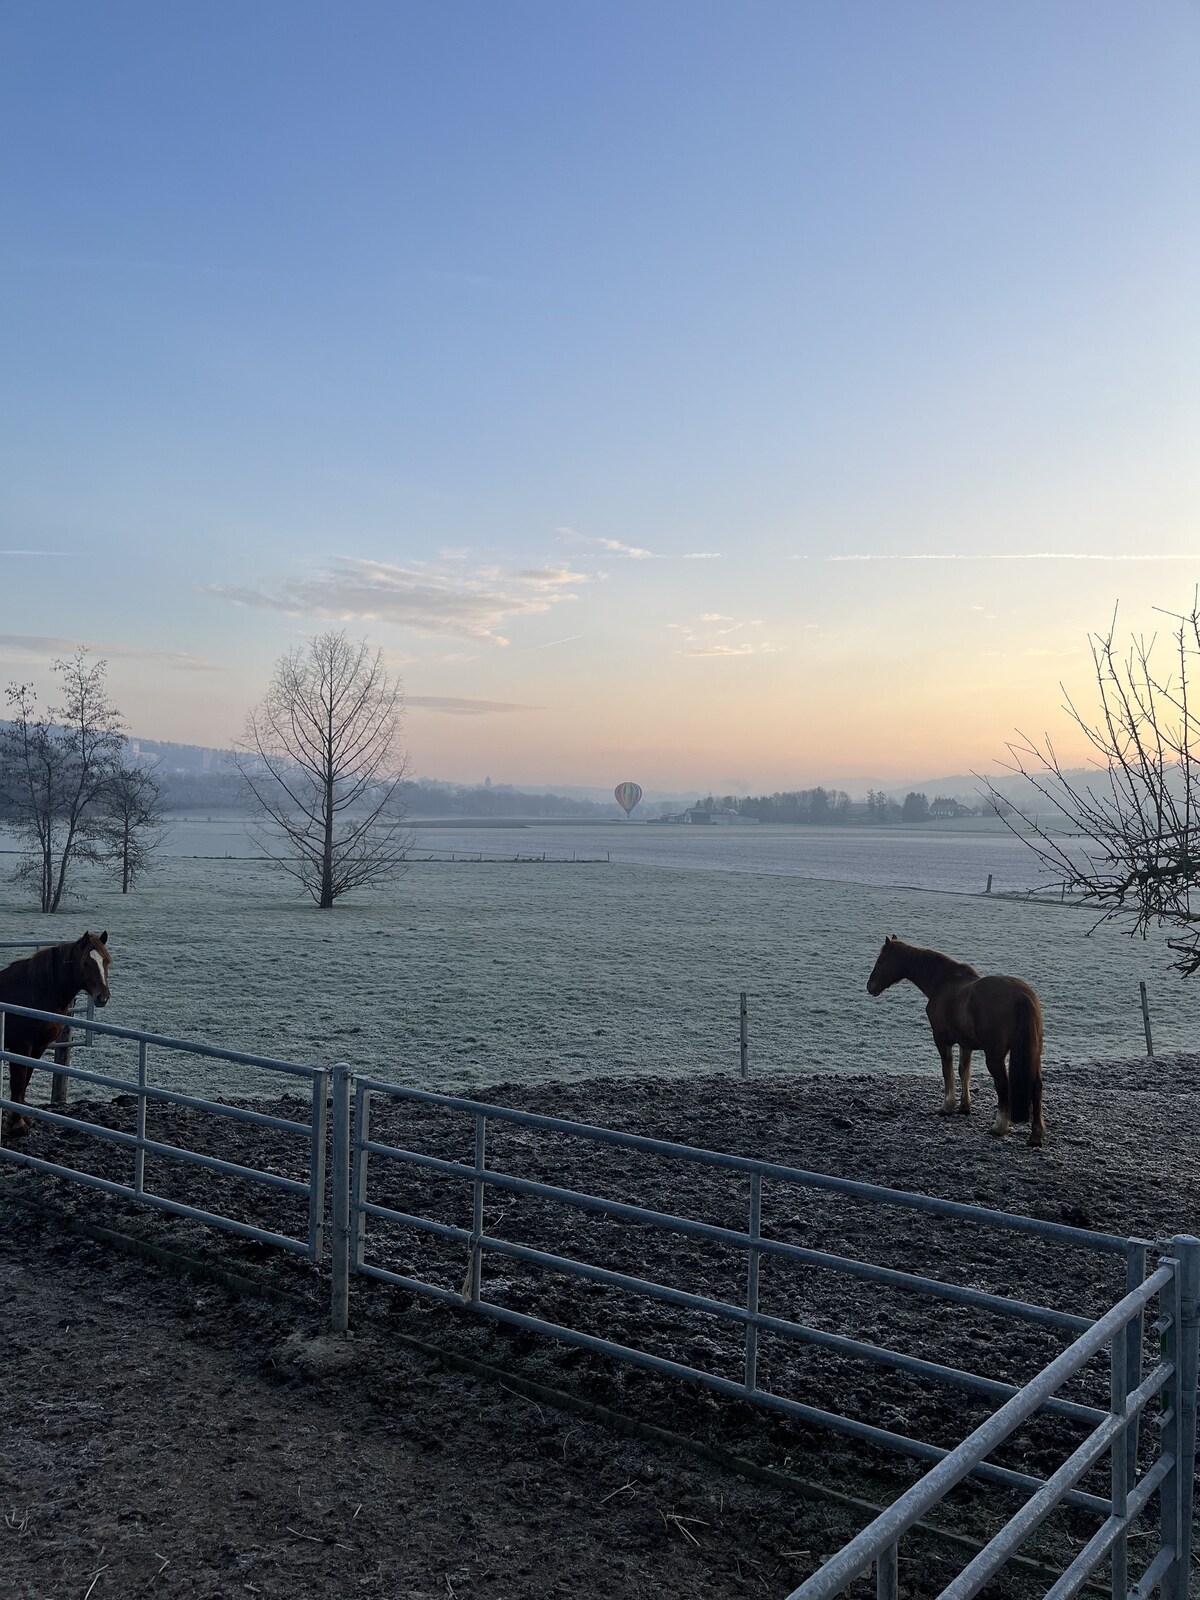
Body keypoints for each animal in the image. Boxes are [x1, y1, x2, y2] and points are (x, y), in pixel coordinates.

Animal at [0, 928, 112, 1139]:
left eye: (106, 961)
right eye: (86, 962)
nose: (102, 997)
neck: (36, 991)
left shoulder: (39, 1046)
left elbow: (26, 1080)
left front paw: (22, 1119)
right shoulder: (21, 1045)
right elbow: (18, 1081)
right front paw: (17, 1125)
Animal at [870, 934, 1049, 1152]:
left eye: (881, 961)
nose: (870, 986)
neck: (943, 982)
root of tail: (1022, 997)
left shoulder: (941, 1039)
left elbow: (947, 1070)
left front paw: (947, 1106)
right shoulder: (966, 1044)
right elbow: (964, 1070)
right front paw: (964, 1106)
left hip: (995, 1056)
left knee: (1002, 1084)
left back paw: (999, 1126)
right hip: (1033, 1053)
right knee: (1036, 1086)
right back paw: (1036, 1135)